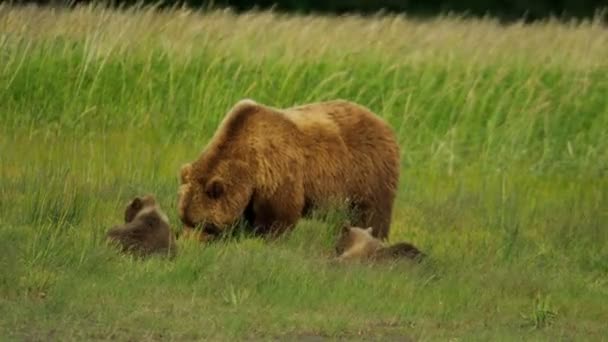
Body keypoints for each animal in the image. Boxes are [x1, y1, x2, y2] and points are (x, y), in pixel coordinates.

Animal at [178, 99, 402, 242]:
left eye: (202, 223)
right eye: (184, 219)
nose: (189, 242)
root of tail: (385, 124)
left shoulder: (278, 172)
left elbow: (278, 217)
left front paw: (265, 239)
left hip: (368, 172)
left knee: (371, 214)